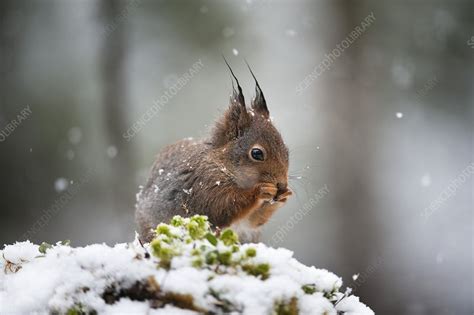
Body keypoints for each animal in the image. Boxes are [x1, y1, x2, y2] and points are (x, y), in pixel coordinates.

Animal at [135, 62, 290, 244]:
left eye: (287, 151)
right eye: (257, 153)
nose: (282, 184)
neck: (220, 163)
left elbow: (253, 221)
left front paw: (285, 195)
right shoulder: (203, 186)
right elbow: (221, 209)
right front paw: (260, 190)